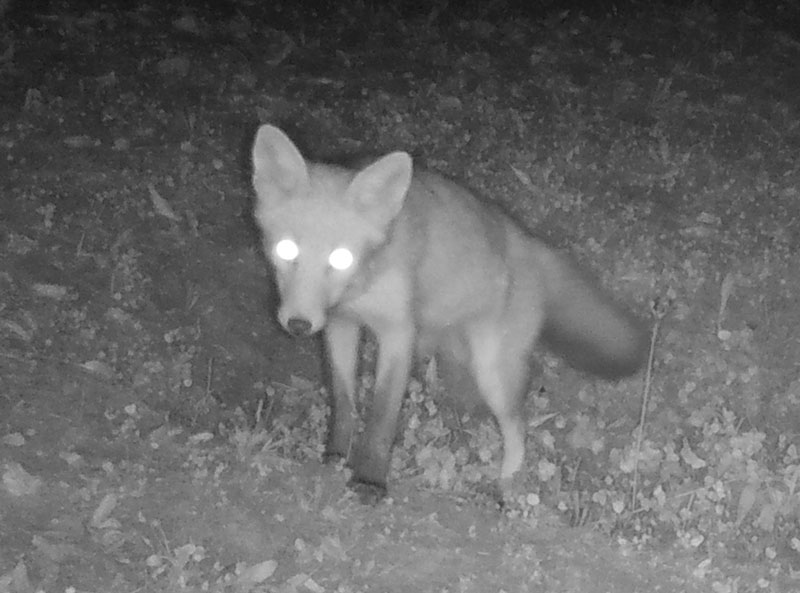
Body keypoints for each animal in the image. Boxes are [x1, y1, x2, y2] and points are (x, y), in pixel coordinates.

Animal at [251, 124, 648, 504]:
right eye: (286, 250)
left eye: (341, 258)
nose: (298, 324)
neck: (365, 283)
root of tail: (526, 239)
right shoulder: (340, 324)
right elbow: (344, 400)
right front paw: (336, 455)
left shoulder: (398, 332)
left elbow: (382, 418)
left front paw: (371, 480)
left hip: (492, 371)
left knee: (519, 427)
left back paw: (507, 485)